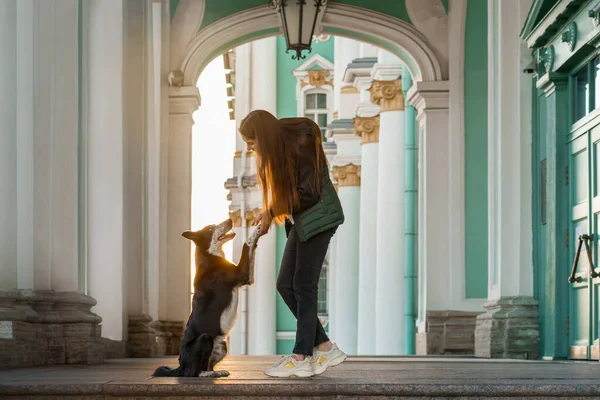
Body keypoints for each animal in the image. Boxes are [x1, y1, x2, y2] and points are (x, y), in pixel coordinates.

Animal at [152, 219, 260, 378]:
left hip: (222, 345)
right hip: (205, 338)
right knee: (193, 373)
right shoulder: (243, 274)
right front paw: (257, 229)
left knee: (207, 365)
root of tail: (180, 366)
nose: (230, 220)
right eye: (210, 229)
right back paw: (207, 374)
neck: (210, 255)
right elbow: (247, 243)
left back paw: (216, 372)